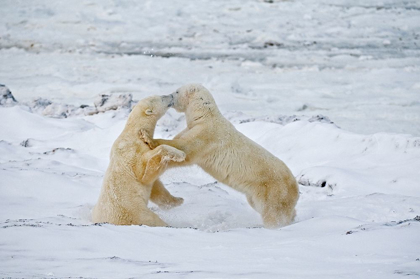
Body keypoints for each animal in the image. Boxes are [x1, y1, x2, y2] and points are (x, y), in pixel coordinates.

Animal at [92, 95, 186, 226]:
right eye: (162, 98)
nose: (171, 96)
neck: (134, 132)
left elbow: (154, 184)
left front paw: (177, 200)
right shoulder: (132, 151)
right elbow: (144, 173)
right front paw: (180, 154)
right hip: (134, 211)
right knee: (152, 219)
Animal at [143, 85, 300, 230]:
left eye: (176, 91)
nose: (169, 97)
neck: (205, 116)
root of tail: (295, 187)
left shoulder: (206, 134)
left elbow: (186, 150)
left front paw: (149, 138)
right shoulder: (192, 128)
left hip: (273, 190)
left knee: (273, 213)